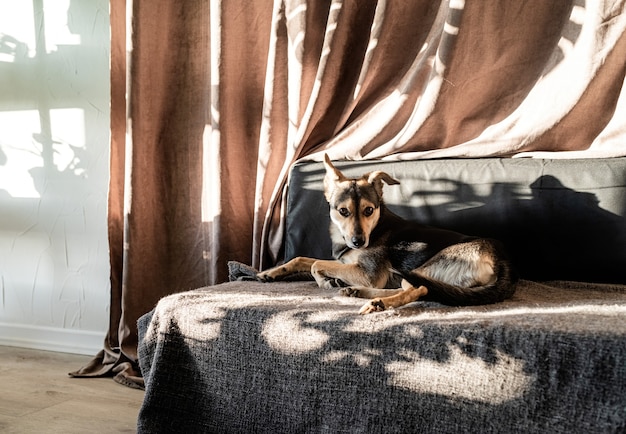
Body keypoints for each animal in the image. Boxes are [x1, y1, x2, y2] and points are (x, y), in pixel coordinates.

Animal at [256, 154, 516, 314]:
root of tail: (504, 261)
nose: (359, 242)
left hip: (425, 267)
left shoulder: (369, 273)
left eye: (369, 210)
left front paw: (324, 281)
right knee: (408, 287)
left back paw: (378, 303)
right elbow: (302, 259)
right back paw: (357, 291)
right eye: (343, 211)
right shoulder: (349, 263)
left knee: (420, 289)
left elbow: (315, 264)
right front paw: (270, 273)